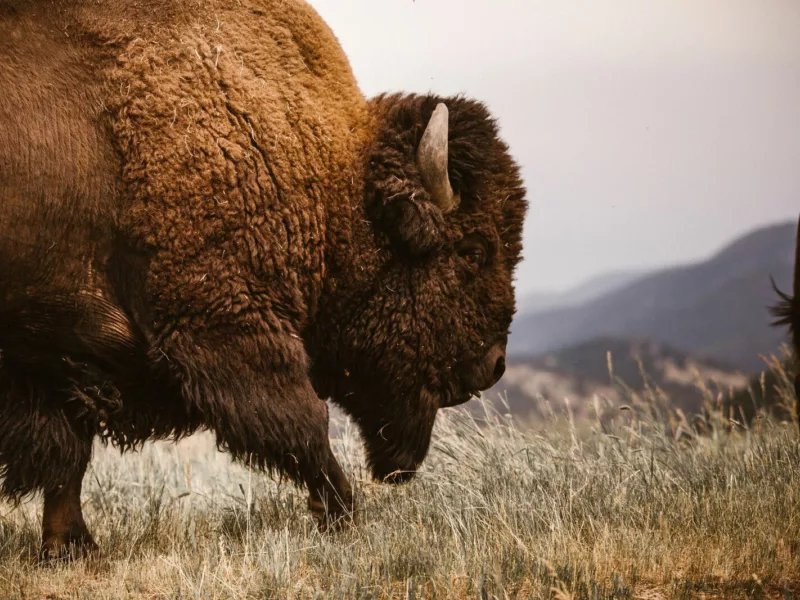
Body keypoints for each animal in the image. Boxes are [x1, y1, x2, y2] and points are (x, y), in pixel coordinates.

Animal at [0, 0, 527, 559]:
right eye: (472, 251)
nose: (494, 365)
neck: (331, 180)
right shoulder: (227, 325)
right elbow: (300, 422)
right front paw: (341, 513)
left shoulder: (55, 352)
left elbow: (66, 455)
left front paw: (71, 546)